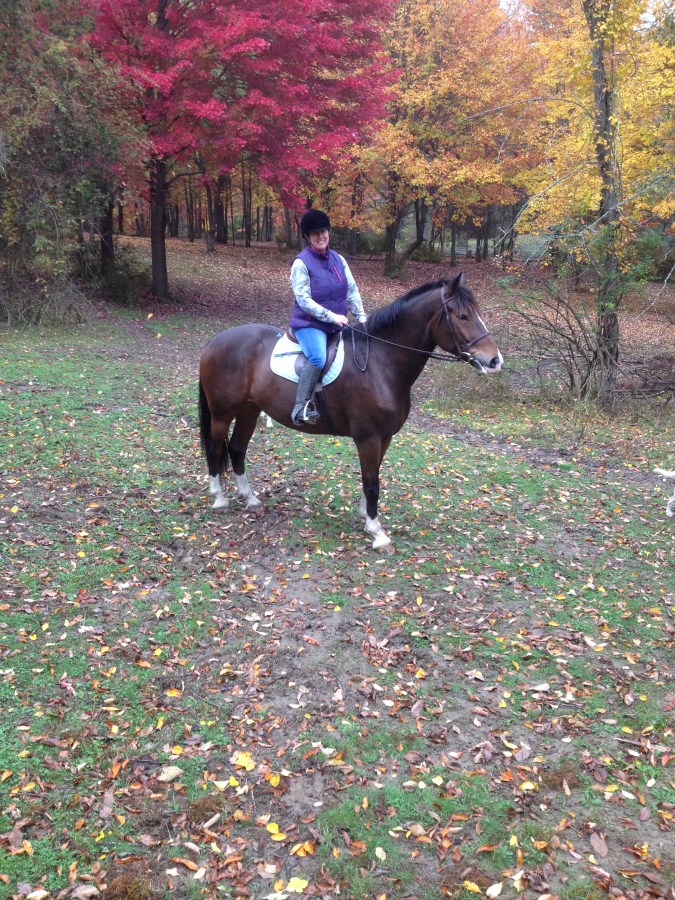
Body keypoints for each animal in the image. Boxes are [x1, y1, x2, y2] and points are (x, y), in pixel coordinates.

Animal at [198, 271, 503, 549]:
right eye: (462, 316)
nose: (495, 361)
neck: (380, 363)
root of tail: (215, 341)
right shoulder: (367, 438)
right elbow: (372, 483)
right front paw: (377, 533)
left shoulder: (384, 437)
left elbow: (373, 476)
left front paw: (366, 516)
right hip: (222, 414)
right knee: (215, 449)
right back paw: (219, 498)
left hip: (249, 410)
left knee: (237, 448)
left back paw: (250, 499)